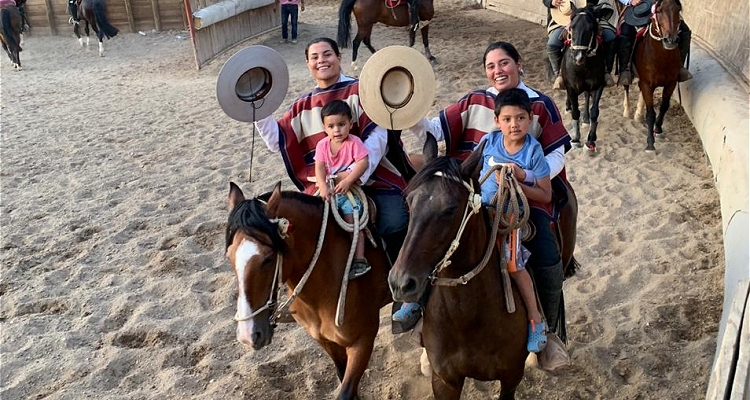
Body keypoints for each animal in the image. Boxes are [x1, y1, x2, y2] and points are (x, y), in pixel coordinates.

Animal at [390, 138, 584, 400]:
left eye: (450, 209)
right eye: (409, 202)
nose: (401, 282)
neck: (467, 316)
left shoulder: (511, 377)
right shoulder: (444, 381)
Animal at [564, 2, 616, 152]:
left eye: (590, 28)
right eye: (572, 26)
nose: (578, 57)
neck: (583, 66)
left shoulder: (598, 85)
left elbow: (594, 111)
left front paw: (591, 140)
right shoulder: (571, 87)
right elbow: (575, 112)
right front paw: (576, 139)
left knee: (587, 97)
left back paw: (586, 119)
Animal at [624, 0, 688, 152]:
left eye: (678, 10)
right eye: (659, 11)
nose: (671, 40)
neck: (661, 57)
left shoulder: (671, 83)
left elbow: (664, 106)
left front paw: (658, 129)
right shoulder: (647, 84)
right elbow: (651, 113)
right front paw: (650, 143)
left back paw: (638, 114)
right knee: (626, 86)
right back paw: (627, 110)